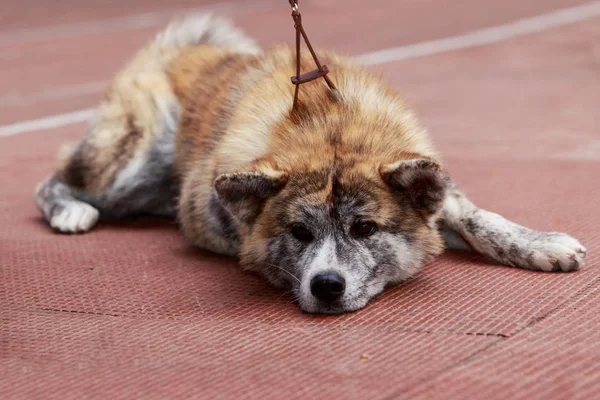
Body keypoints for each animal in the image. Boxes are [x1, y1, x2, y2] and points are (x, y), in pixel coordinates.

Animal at [34, 15, 584, 314]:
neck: (330, 130)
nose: (326, 285)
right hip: (134, 164)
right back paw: (70, 211)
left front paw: (539, 244)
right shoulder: (201, 203)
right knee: (53, 180)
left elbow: (474, 214)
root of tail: (175, 48)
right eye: (298, 232)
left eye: (365, 228)